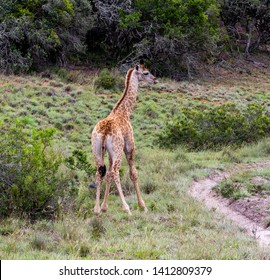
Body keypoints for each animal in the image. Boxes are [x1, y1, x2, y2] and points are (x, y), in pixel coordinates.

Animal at [91, 61, 157, 214]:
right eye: (146, 72)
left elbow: (108, 176)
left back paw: (96, 209)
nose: (155, 79)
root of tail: (104, 131)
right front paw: (142, 205)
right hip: (118, 151)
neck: (124, 111)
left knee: (100, 172)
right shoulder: (129, 147)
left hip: (97, 150)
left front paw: (104, 206)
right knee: (115, 172)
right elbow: (133, 173)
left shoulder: (110, 154)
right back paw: (126, 207)